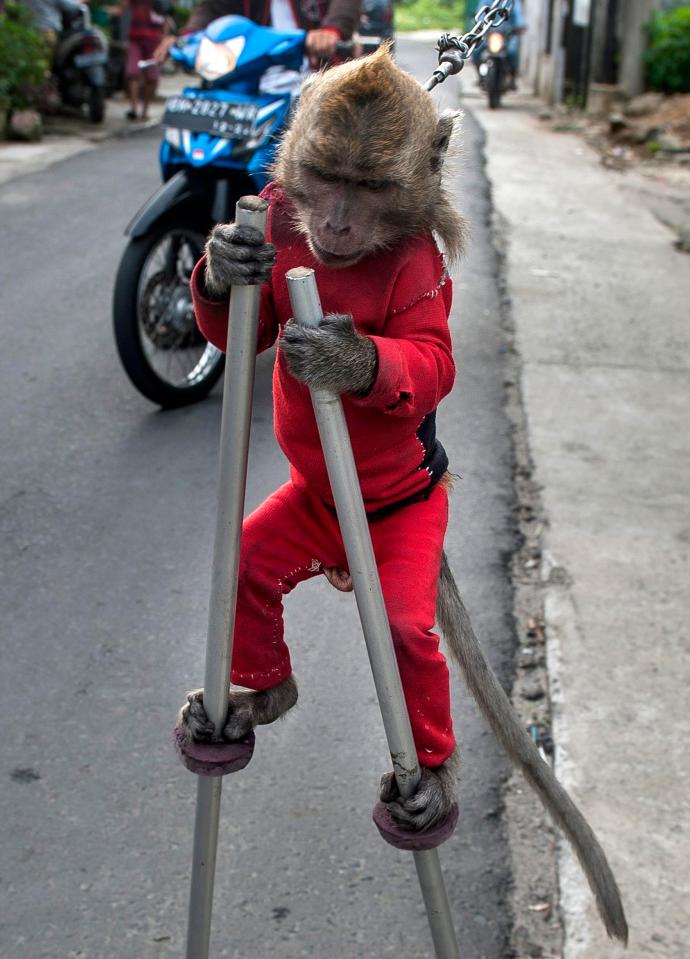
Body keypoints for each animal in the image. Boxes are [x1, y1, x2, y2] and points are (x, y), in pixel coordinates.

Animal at [179, 47, 628, 944]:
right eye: (324, 177)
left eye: (371, 188)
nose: (336, 224)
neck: (349, 264)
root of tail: (341, 554)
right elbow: (239, 326)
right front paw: (220, 263)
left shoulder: (421, 271)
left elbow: (429, 356)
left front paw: (350, 361)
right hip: (308, 520)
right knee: (247, 569)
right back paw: (263, 696)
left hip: (407, 532)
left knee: (403, 635)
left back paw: (433, 780)